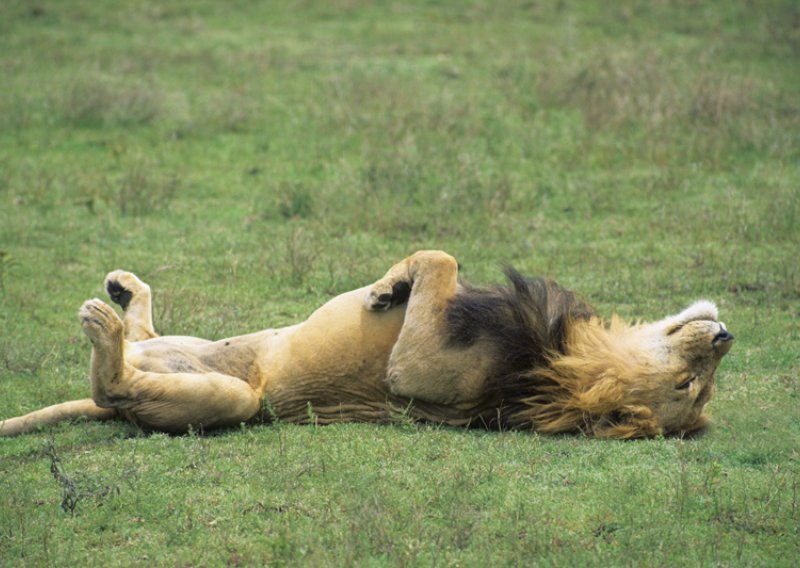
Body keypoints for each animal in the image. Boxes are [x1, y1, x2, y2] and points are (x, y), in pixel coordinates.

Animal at [0, 251, 736, 442]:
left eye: (687, 388)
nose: (726, 335)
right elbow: (439, 257)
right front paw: (389, 286)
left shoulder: (418, 373)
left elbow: (441, 258)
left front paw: (389, 290)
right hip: (192, 348)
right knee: (149, 335)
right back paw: (123, 290)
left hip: (235, 400)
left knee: (118, 381)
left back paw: (103, 325)